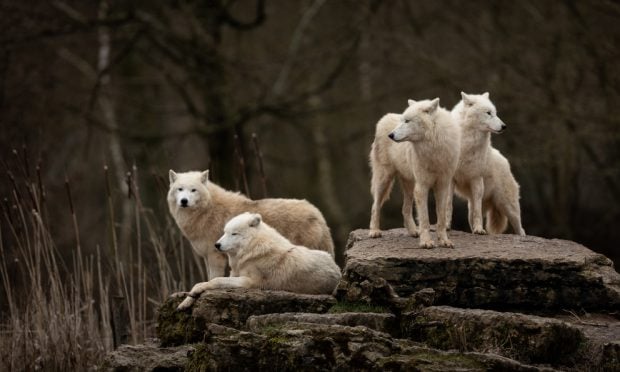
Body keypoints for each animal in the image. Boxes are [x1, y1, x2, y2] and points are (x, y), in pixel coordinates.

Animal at [167, 169, 334, 280]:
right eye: (180, 189)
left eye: (193, 190)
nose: (184, 201)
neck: (208, 210)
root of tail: (317, 213)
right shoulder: (208, 256)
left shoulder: (215, 256)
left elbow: (214, 278)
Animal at [176, 212, 344, 310]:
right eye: (225, 232)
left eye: (234, 234)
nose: (217, 245)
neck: (252, 248)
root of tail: (338, 271)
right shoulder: (234, 274)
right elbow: (200, 284)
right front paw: (185, 302)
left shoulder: (249, 282)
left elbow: (214, 281)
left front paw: (195, 293)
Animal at [368, 98, 460, 247]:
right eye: (403, 120)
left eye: (407, 121)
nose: (391, 135)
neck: (433, 149)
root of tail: (384, 118)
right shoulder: (422, 186)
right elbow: (425, 219)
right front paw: (426, 242)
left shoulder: (443, 185)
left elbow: (441, 219)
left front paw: (444, 241)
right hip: (384, 179)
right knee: (375, 206)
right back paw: (374, 231)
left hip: (409, 185)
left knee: (405, 209)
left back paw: (412, 231)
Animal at [448, 91, 524, 234]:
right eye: (488, 113)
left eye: (495, 112)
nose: (504, 126)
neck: (466, 143)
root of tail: (505, 161)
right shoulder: (450, 179)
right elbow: (448, 205)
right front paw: (446, 226)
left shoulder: (476, 179)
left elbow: (478, 212)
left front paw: (479, 230)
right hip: (471, 210)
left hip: (509, 208)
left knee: (521, 229)